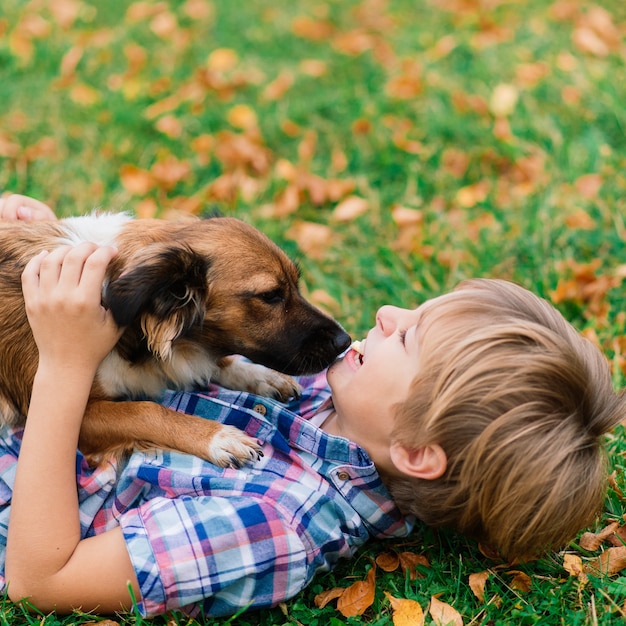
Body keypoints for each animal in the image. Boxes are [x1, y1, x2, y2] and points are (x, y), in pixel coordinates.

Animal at [0, 213, 352, 464]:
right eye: (270, 296)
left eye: (295, 284)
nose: (344, 342)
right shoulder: (59, 416)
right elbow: (145, 411)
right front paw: (218, 437)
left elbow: (217, 362)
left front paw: (262, 376)